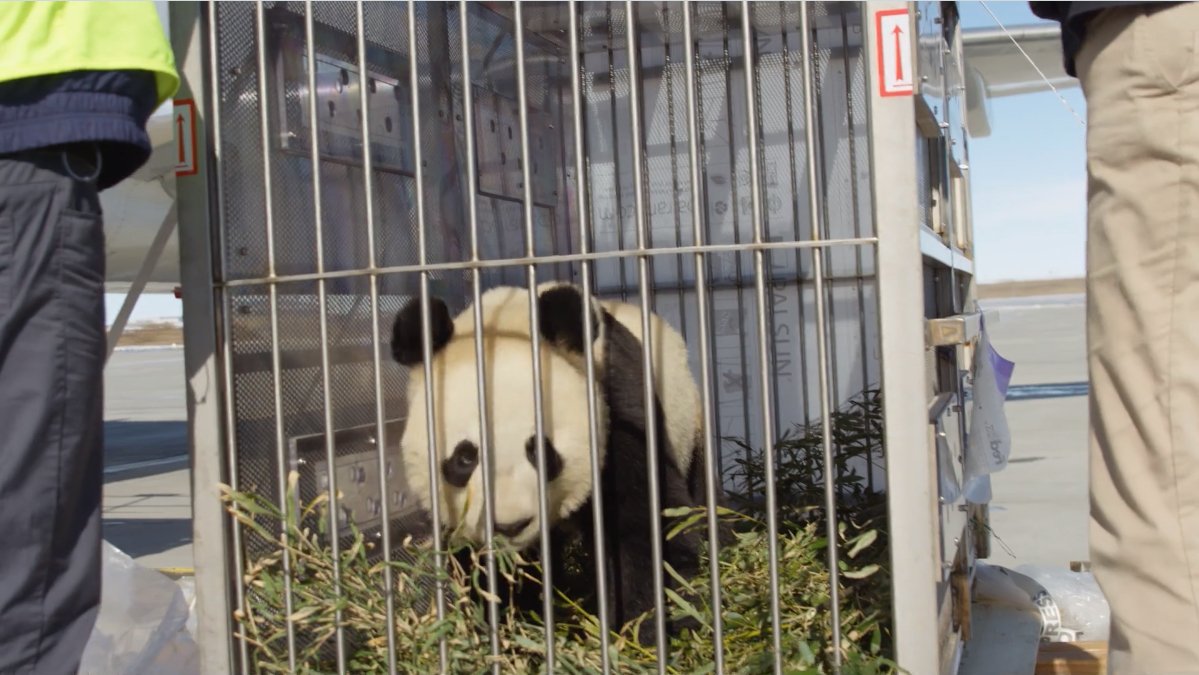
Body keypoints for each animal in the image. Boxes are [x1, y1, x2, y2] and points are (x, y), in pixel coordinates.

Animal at [389, 281, 721, 643]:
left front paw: (642, 631)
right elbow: (485, 573)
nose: (511, 526)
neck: (506, 321)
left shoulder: (616, 411)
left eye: (539, 451)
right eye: (465, 457)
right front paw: (513, 629)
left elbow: (646, 527)